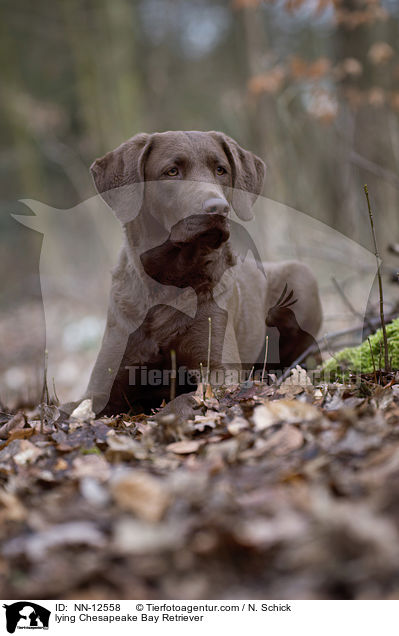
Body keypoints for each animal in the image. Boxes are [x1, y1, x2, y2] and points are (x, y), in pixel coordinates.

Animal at [80, 132, 322, 414]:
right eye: (172, 171)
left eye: (221, 170)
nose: (218, 207)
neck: (168, 282)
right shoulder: (101, 386)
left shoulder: (220, 369)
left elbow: (184, 399)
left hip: (302, 276)